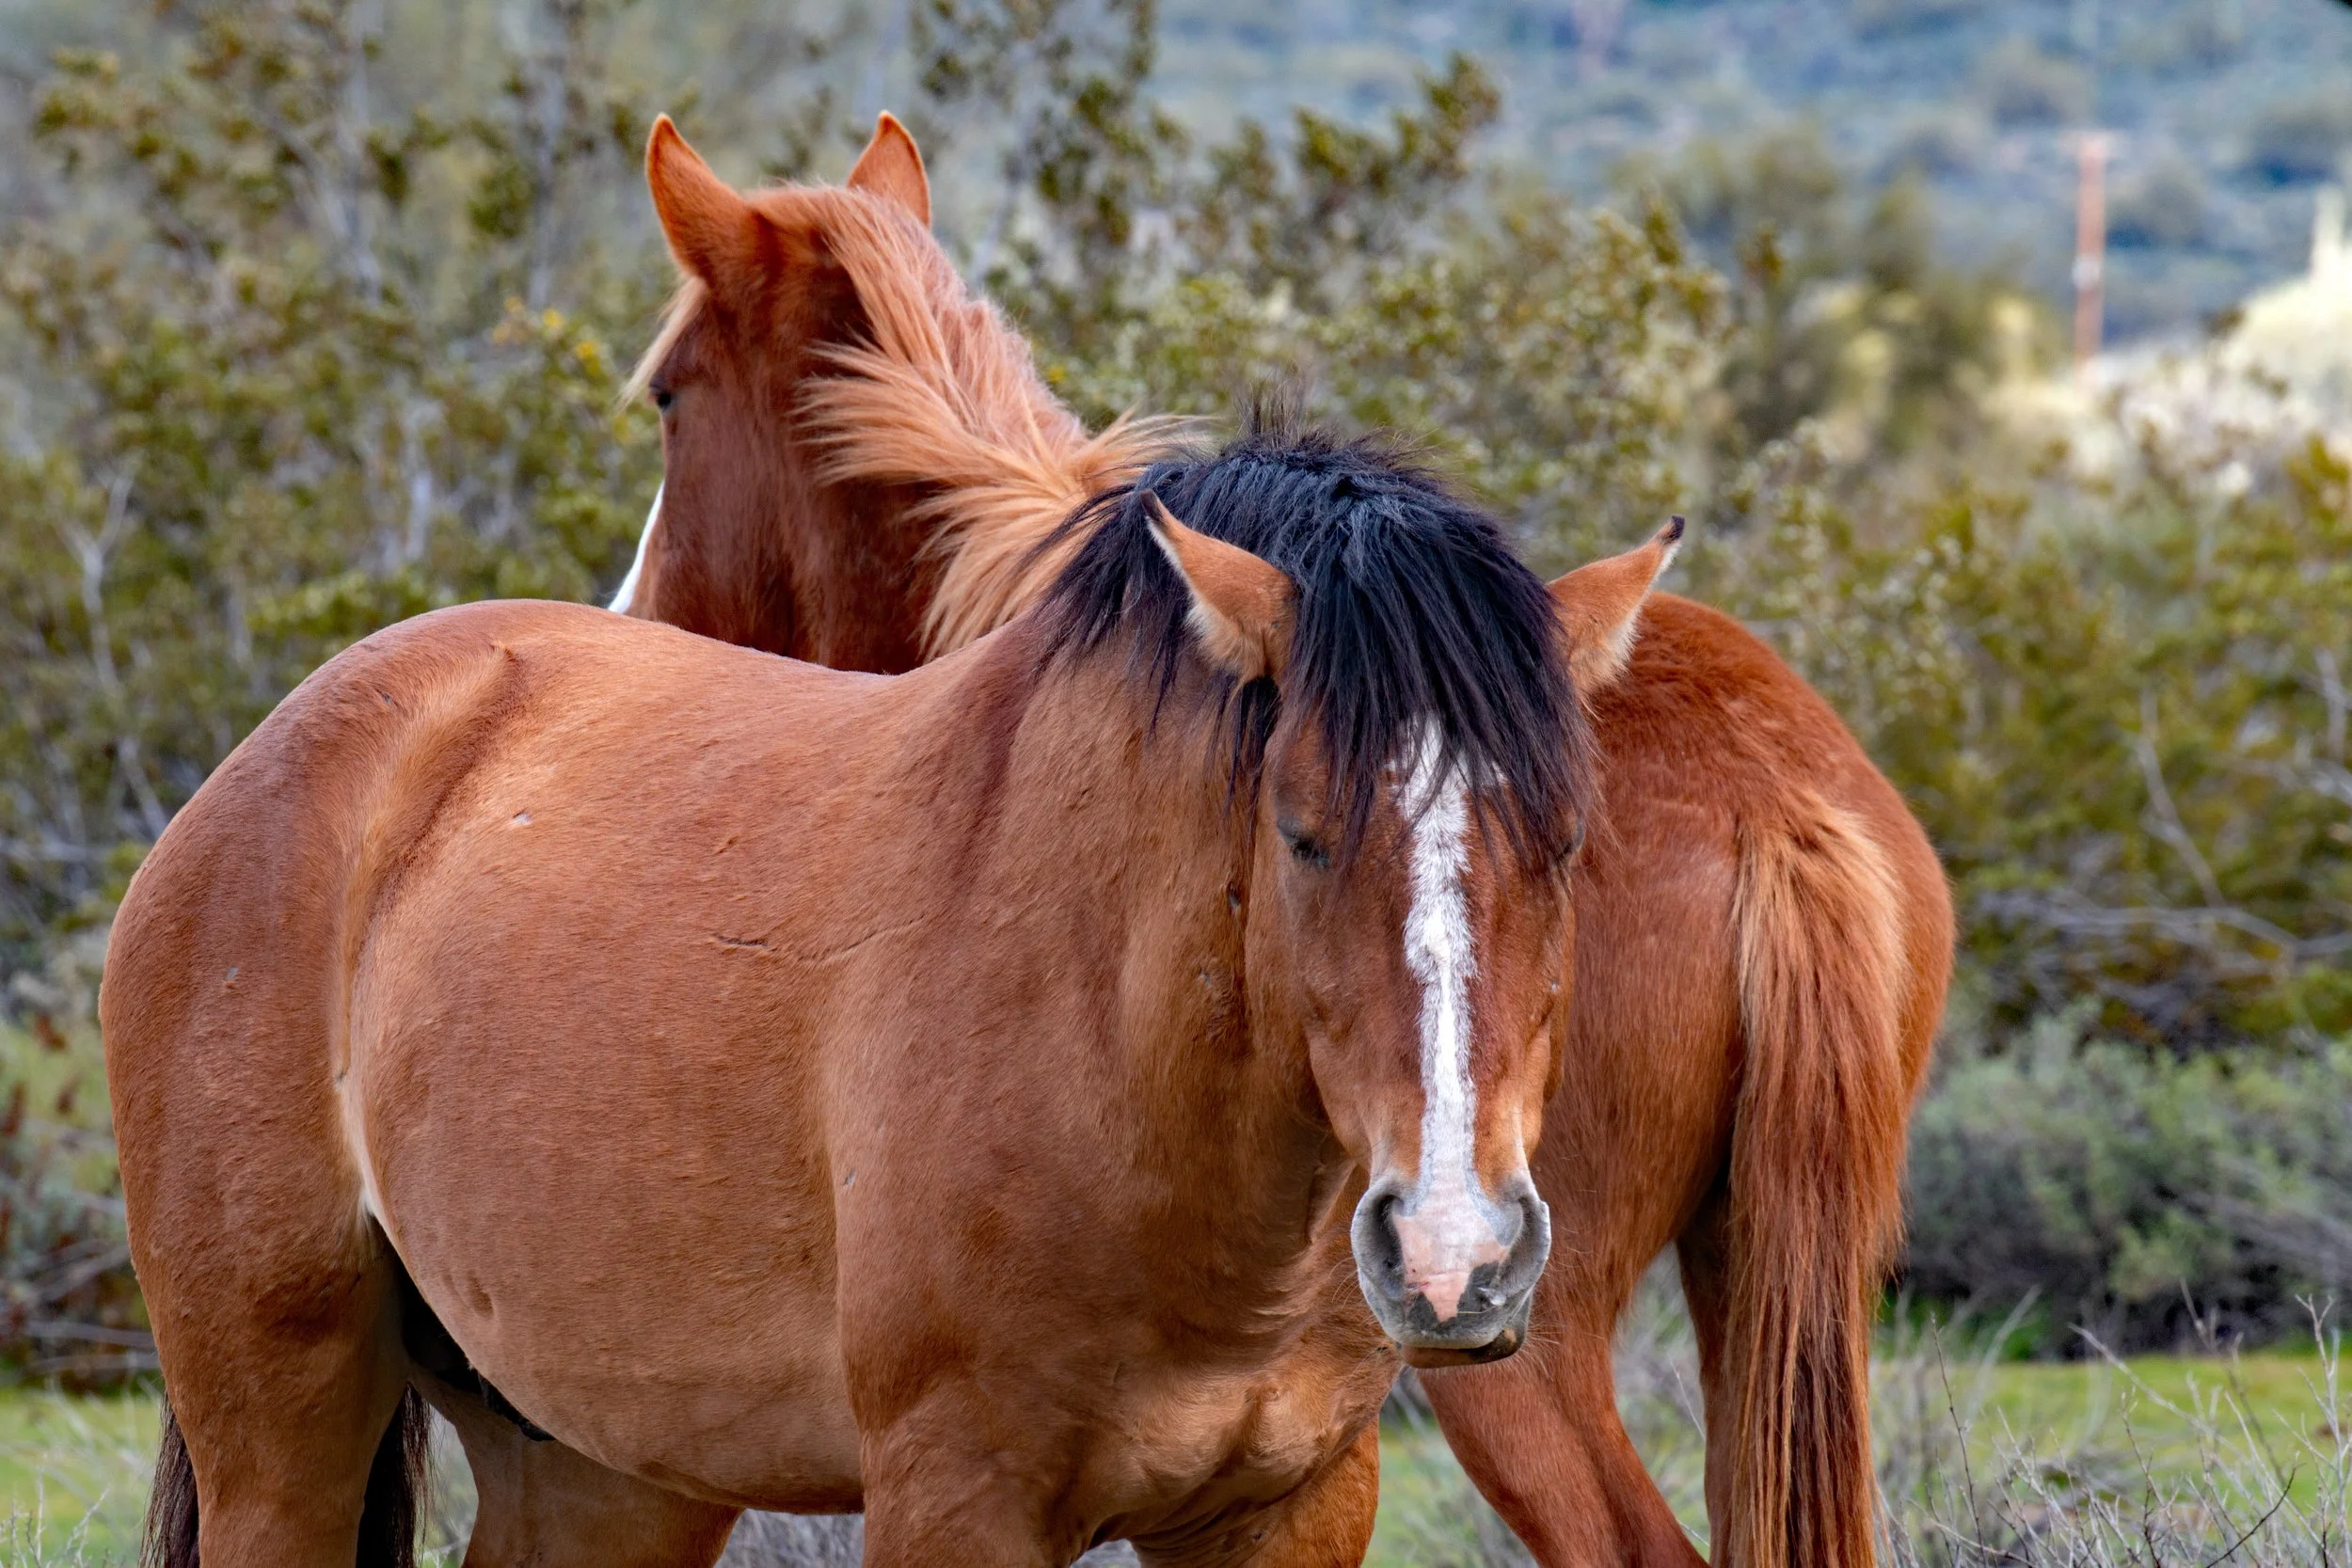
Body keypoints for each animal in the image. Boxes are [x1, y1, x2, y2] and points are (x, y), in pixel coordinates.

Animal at [104, 398, 1688, 1561]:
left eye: (1565, 836)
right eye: (1301, 830)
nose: (1455, 1250)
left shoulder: (1290, 1505)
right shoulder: (954, 1494)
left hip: (605, 1469)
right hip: (281, 1437)